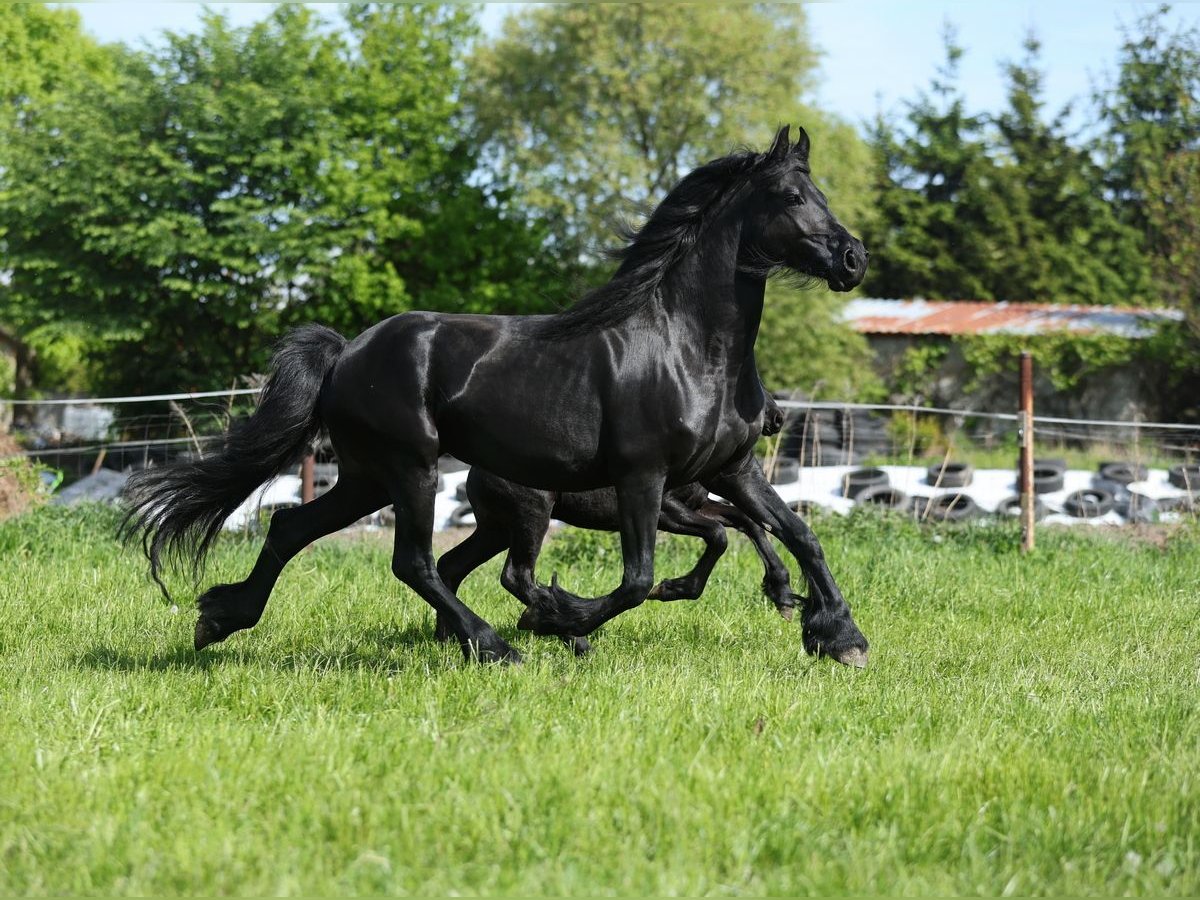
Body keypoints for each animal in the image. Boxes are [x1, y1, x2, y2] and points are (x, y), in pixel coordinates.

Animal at [124, 123, 873, 667]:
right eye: (789, 196)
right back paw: (496, 645)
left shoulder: (732, 469)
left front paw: (838, 635)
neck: (689, 348)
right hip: (413, 468)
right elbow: (640, 577)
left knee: (293, 529)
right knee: (416, 561)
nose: (853, 259)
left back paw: (221, 619)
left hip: (367, 475)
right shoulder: (646, 477)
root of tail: (346, 354)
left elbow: (796, 534)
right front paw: (560, 617)